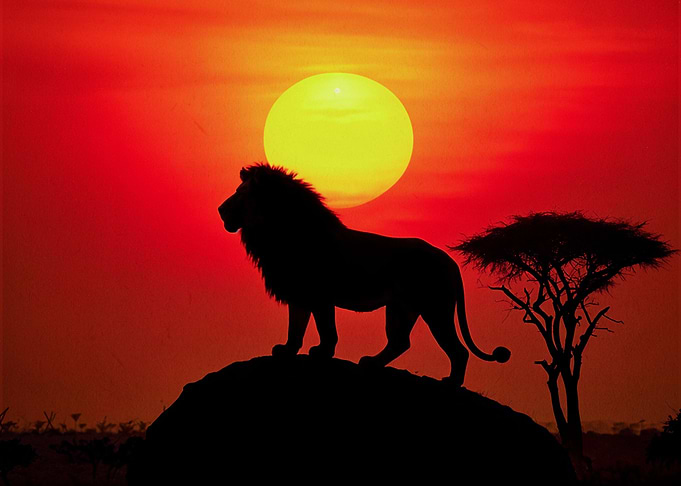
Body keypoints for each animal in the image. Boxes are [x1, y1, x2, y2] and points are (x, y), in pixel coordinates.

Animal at [218, 163, 510, 386]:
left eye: (240, 194)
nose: (220, 209)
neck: (275, 233)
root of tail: (450, 262)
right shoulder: (299, 293)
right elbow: (296, 327)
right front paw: (287, 351)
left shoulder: (320, 296)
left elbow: (326, 329)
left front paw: (321, 353)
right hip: (402, 308)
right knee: (400, 342)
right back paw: (372, 363)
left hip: (434, 308)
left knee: (457, 350)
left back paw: (451, 383)